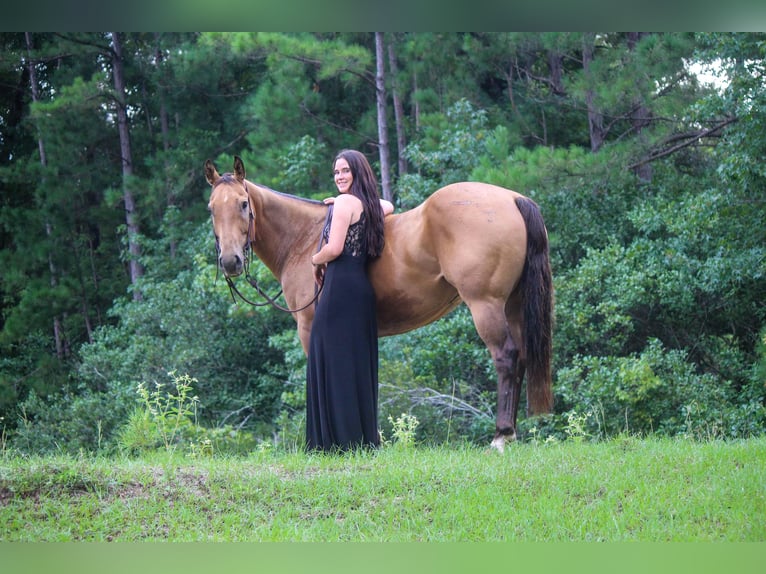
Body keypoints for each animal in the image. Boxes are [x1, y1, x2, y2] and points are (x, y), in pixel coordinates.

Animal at [206, 155, 552, 452]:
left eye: (243, 203)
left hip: (486, 305)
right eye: (211, 208)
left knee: (506, 357)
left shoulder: (308, 328)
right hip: (514, 305)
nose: (230, 261)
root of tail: (511, 199)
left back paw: (501, 436)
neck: (304, 238)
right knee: (521, 356)